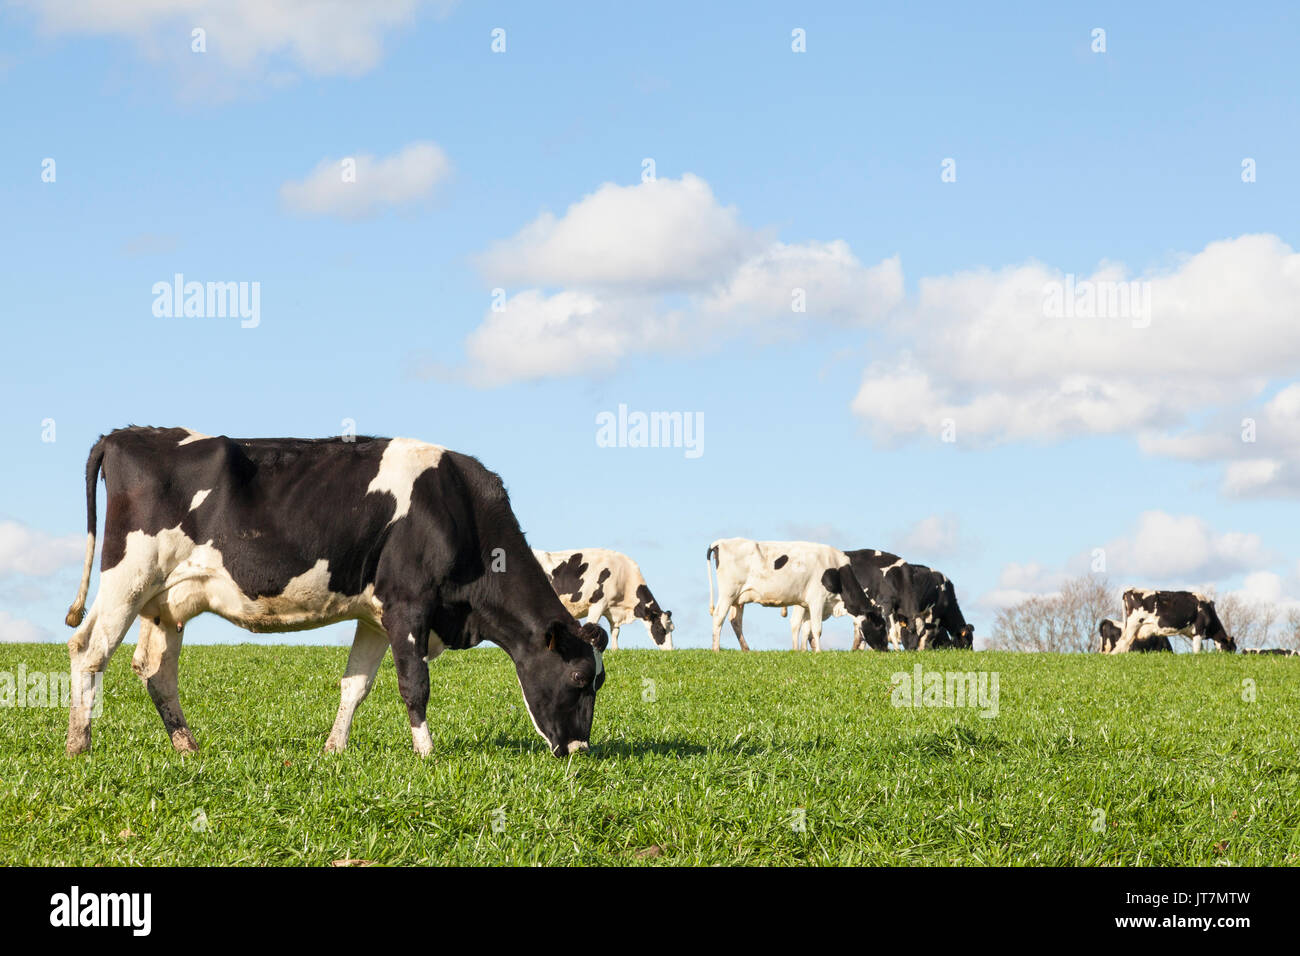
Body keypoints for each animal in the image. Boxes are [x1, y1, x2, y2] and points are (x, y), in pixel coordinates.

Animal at [63, 427, 608, 759]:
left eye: (598, 681)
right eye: (580, 677)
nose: (579, 751)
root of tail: (127, 434)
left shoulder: (375, 616)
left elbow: (355, 685)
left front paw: (334, 749)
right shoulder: (409, 603)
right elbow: (415, 684)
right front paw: (427, 753)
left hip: (166, 601)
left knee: (156, 670)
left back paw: (187, 747)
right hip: (129, 575)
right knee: (89, 649)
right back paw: (79, 745)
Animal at [532, 548, 674, 650]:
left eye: (672, 629)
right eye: (660, 629)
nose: (670, 650)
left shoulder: (611, 609)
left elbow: (615, 632)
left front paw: (615, 650)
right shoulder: (598, 604)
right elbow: (591, 626)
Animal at [705, 538, 885, 652]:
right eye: (880, 626)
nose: (885, 649)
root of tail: (721, 542)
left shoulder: (806, 604)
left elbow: (804, 627)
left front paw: (803, 651)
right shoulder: (817, 600)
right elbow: (816, 629)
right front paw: (818, 652)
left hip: (738, 599)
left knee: (735, 621)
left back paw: (746, 649)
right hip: (728, 593)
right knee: (719, 616)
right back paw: (716, 649)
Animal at [1106, 588, 1236, 654]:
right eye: (1231, 649)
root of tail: (1130, 590)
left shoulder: (1191, 633)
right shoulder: (1199, 630)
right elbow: (1197, 650)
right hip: (1133, 624)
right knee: (1122, 643)